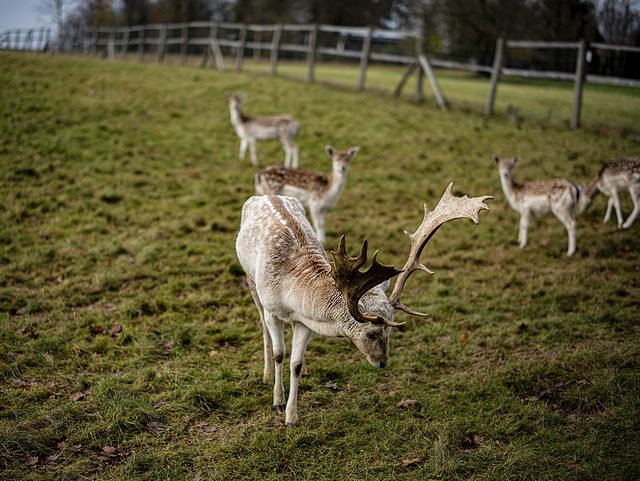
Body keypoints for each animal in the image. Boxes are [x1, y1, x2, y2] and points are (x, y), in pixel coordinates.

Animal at [235, 183, 490, 424]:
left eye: (390, 331)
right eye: (370, 334)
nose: (383, 363)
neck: (290, 295)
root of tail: (264, 195)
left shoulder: (305, 322)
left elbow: (295, 364)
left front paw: (292, 417)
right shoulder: (272, 310)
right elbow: (280, 353)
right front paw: (278, 402)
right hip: (250, 280)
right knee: (262, 325)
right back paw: (267, 374)